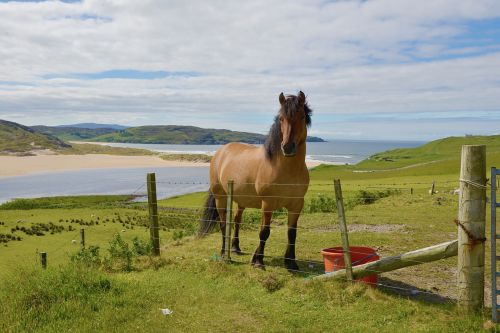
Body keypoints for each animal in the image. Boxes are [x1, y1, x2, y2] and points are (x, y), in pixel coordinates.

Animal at [200, 91, 312, 270]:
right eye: (281, 119)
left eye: (301, 116)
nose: (287, 147)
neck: (286, 170)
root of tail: (220, 151)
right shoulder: (267, 204)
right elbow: (264, 231)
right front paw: (258, 261)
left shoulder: (297, 204)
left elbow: (292, 233)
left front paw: (291, 262)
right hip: (220, 198)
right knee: (224, 223)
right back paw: (224, 252)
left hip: (241, 200)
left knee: (237, 220)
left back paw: (235, 248)